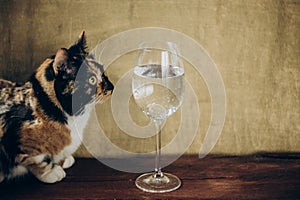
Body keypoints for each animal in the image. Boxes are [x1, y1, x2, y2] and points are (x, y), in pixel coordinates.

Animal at [0, 31, 113, 183]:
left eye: (103, 72)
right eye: (92, 80)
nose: (112, 87)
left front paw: (64, 160)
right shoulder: (13, 140)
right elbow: (35, 160)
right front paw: (51, 172)